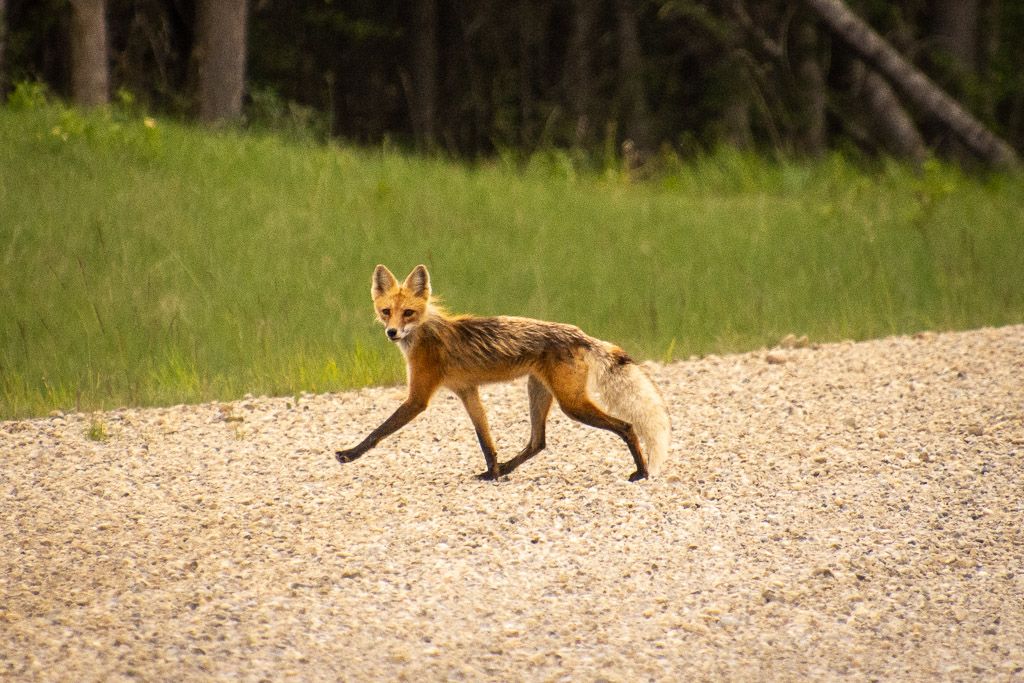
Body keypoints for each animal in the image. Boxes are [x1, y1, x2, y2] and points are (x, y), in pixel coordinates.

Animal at [337, 264, 671, 481]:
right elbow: (486, 440)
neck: (425, 334)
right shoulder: (467, 391)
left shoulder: (418, 398)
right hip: (539, 393)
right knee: (538, 443)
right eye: (386, 312)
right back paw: (508, 469)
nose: (392, 332)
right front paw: (493, 472)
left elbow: (378, 431)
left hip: (572, 405)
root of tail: (579, 333)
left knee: (627, 426)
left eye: (408, 313)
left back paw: (641, 472)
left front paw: (350, 454)